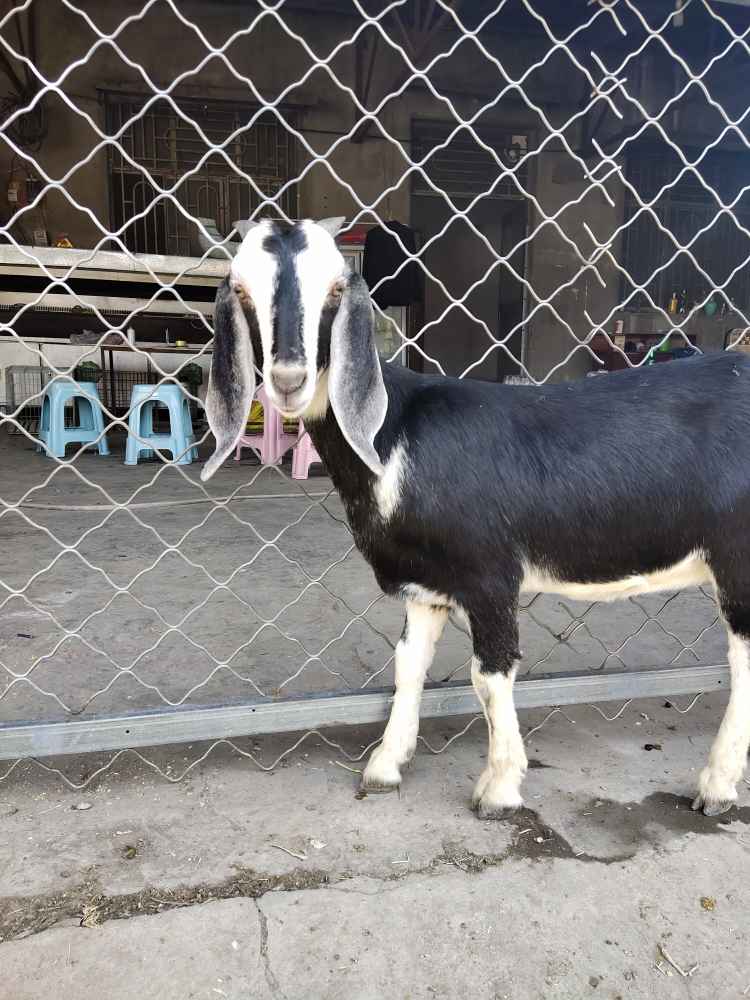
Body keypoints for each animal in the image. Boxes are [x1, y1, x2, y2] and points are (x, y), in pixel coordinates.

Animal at [203, 219, 750, 820]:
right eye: (242, 292)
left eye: (335, 291)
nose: (288, 378)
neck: (396, 436)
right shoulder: (426, 583)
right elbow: (408, 664)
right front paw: (385, 767)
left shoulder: (489, 575)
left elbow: (488, 675)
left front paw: (500, 788)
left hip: (739, 557)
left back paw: (717, 785)